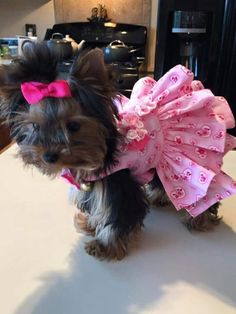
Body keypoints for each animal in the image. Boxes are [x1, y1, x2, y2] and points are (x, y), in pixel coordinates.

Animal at [0, 43, 236, 260]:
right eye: (35, 126)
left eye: (73, 126)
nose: (49, 156)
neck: (98, 155)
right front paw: (91, 224)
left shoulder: (118, 183)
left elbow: (118, 217)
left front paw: (105, 246)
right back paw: (160, 198)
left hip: (193, 157)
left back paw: (200, 220)